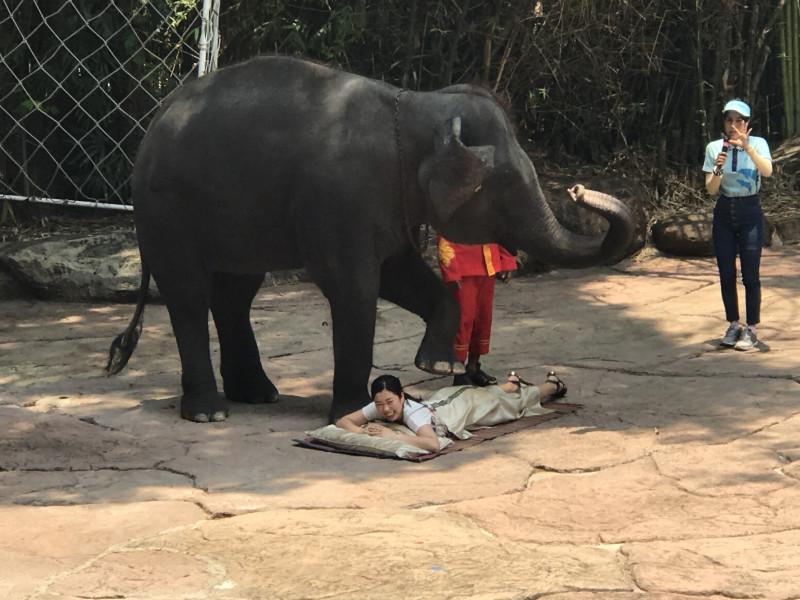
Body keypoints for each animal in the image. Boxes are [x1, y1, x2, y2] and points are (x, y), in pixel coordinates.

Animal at [106, 55, 636, 422]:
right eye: (504, 186)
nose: (578, 188)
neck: (415, 106)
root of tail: (154, 123)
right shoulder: (342, 200)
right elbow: (354, 288)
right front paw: (349, 412)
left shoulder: (388, 206)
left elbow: (400, 273)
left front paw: (435, 366)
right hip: (166, 210)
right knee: (189, 293)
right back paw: (209, 411)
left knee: (236, 292)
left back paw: (259, 394)